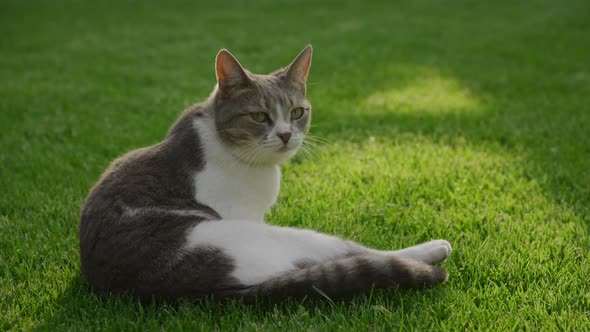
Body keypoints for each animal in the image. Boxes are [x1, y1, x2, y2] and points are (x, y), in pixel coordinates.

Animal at [77, 45, 454, 302]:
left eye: (297, 112)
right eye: (259, 116)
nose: (286, 134)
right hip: (271, 235)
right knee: (354, 252)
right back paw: (434, 248)